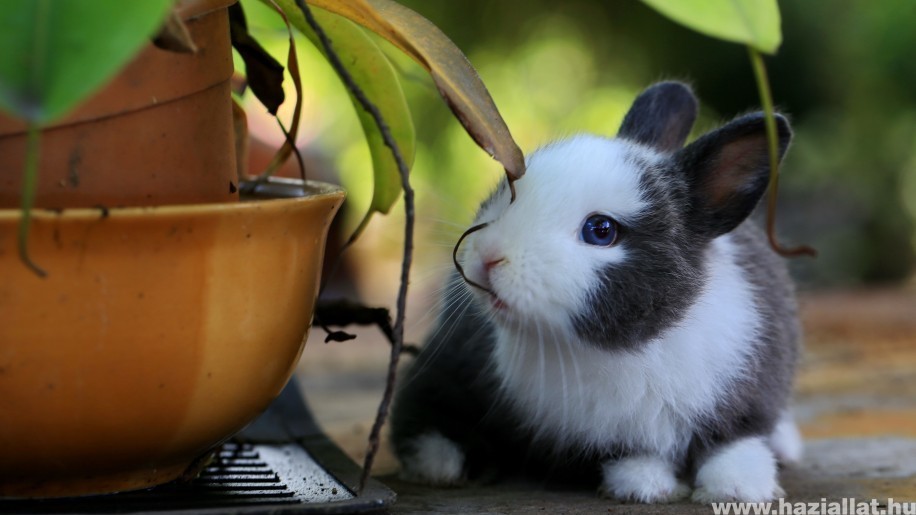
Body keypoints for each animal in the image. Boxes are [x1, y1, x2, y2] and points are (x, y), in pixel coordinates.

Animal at [390, 81, 804, 504]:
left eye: (601, 231)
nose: (488, 255)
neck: (627, 348)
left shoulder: (749, 396)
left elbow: (735, 444)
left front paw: (738, 489)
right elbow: (629, 456)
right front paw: (647, 487)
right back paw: (442, 465)